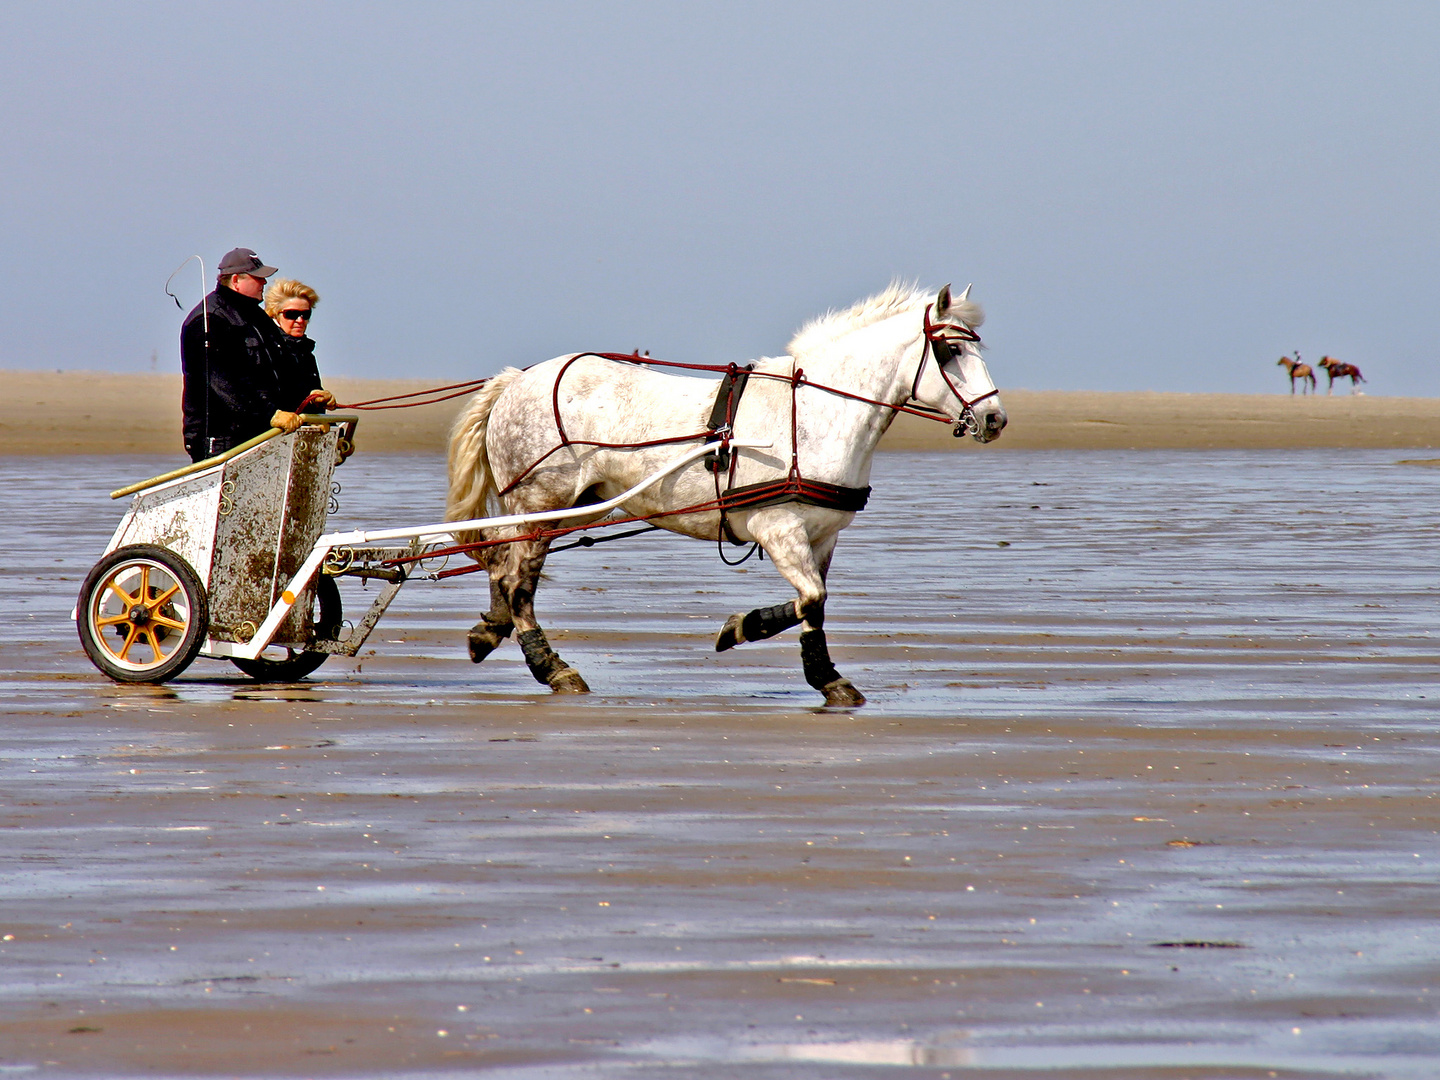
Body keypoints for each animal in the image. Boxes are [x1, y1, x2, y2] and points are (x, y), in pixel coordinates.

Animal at [443, 283, 1008, 705]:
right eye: (951, 350)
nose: (996, 419)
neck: (817, 415)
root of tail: (517, 380)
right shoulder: (779, 529)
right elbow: (811, 599)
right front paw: (754, 635)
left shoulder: (823, 536)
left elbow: (814, 606)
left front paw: (811, 668)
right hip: (541, 502)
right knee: (517, 583)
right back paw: (553, 669)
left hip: (567, 504)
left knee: (501, 565)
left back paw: (490, 631)